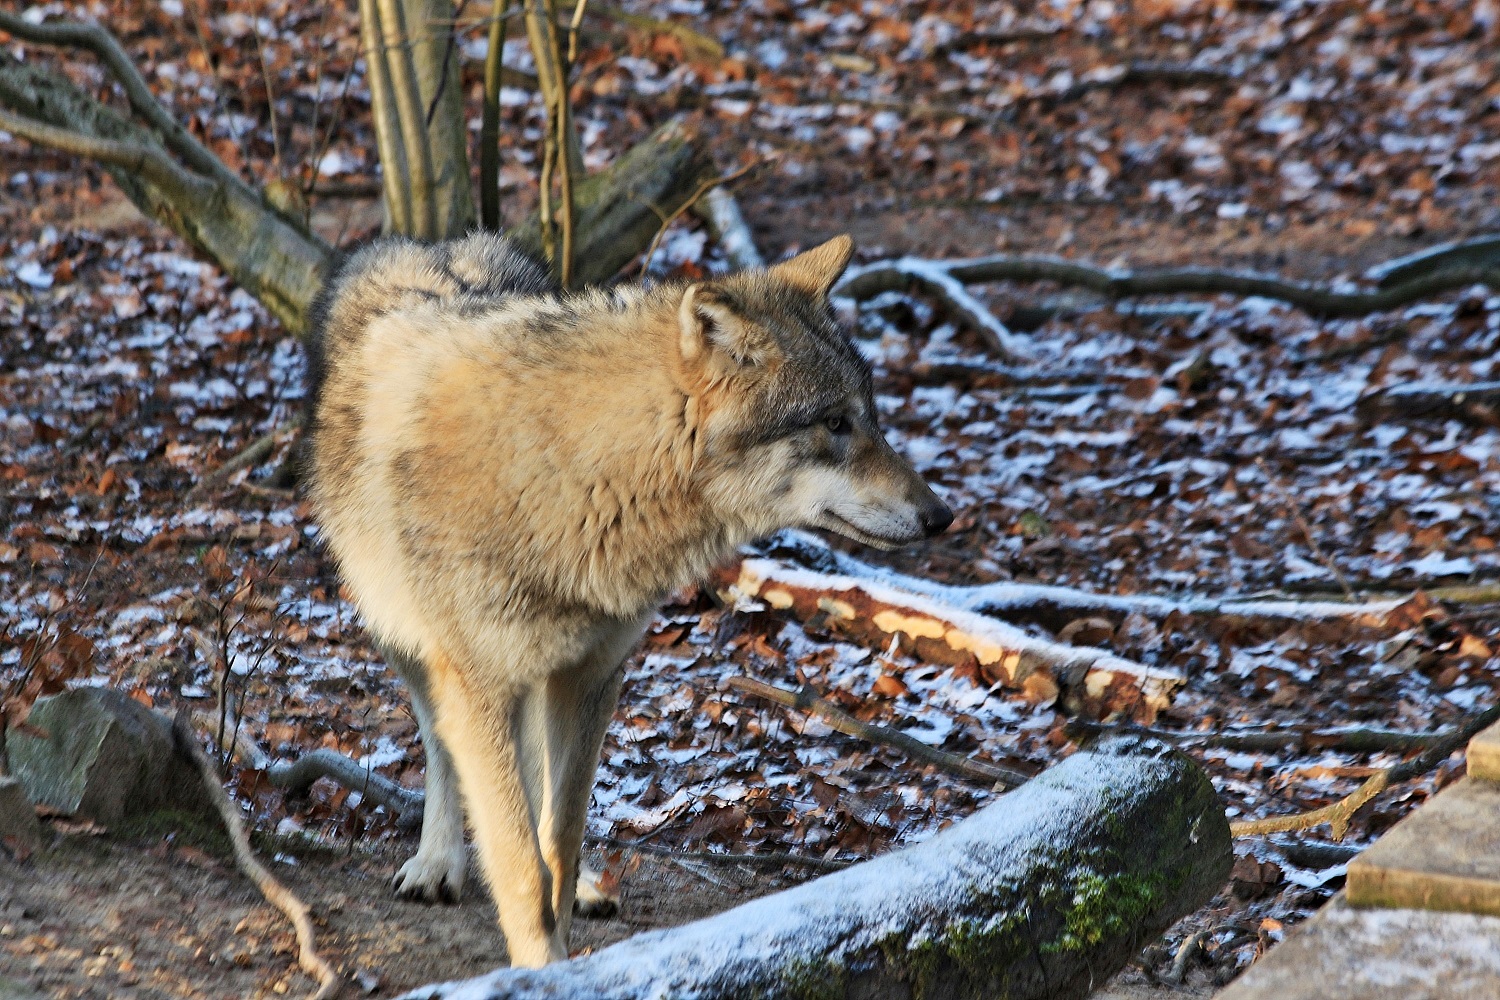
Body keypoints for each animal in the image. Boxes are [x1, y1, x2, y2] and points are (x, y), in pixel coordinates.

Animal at [307, 230, 948, 965]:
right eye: (836, 423)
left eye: (870, 417)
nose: (942, 516)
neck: (575, 476)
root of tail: (428, 244)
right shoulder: (478, 682)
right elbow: (520, 862)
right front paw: (542, 968)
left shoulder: (593, 675)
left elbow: (557, 841)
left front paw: (563, 933)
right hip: (409, 641)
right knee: (442, 746)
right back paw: (438, 862)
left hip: (545, 680)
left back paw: (585, 881)